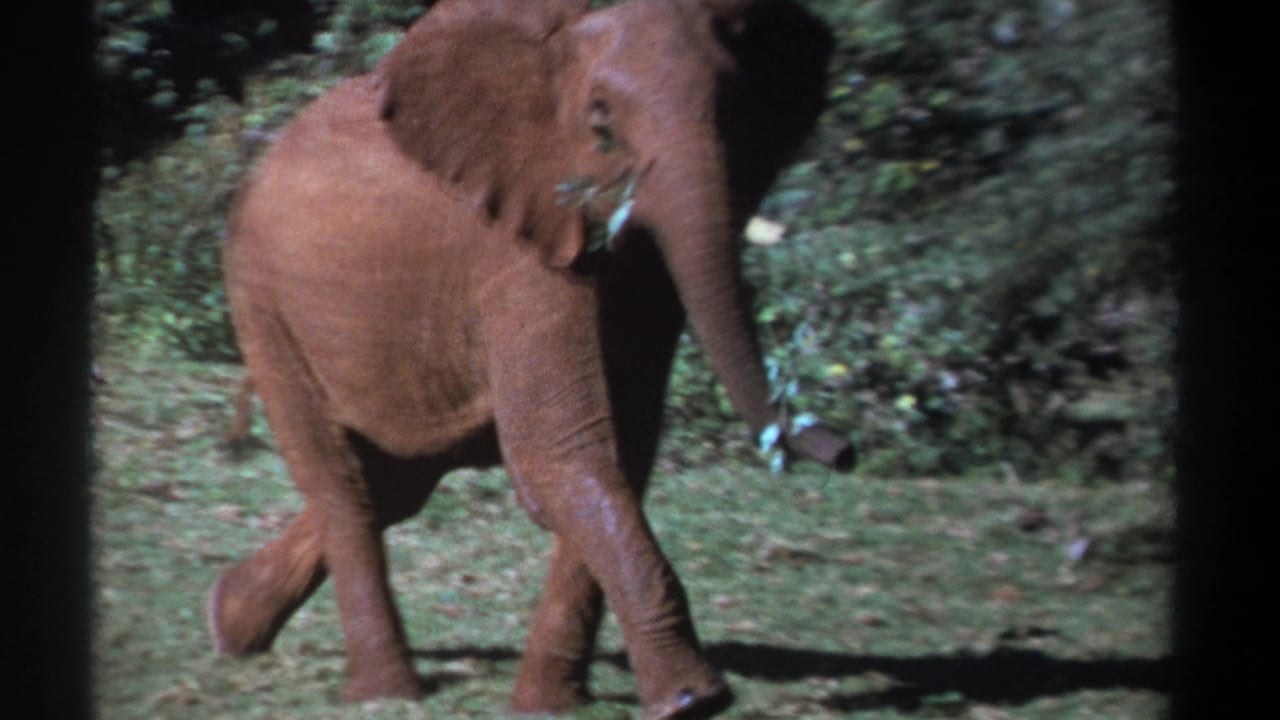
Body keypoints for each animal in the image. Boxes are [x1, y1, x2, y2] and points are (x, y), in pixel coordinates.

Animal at [208, 0, 853, 716]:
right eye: (601, 120)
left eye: (738, 107)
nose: (843, 452)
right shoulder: (518, 252)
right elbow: (562, 458)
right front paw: (695, 700)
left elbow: (620, 453)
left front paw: (550, 705)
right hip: (261, 302)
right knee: (343, 486)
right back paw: (384, 693)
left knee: (393, 485)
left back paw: (230, 626)